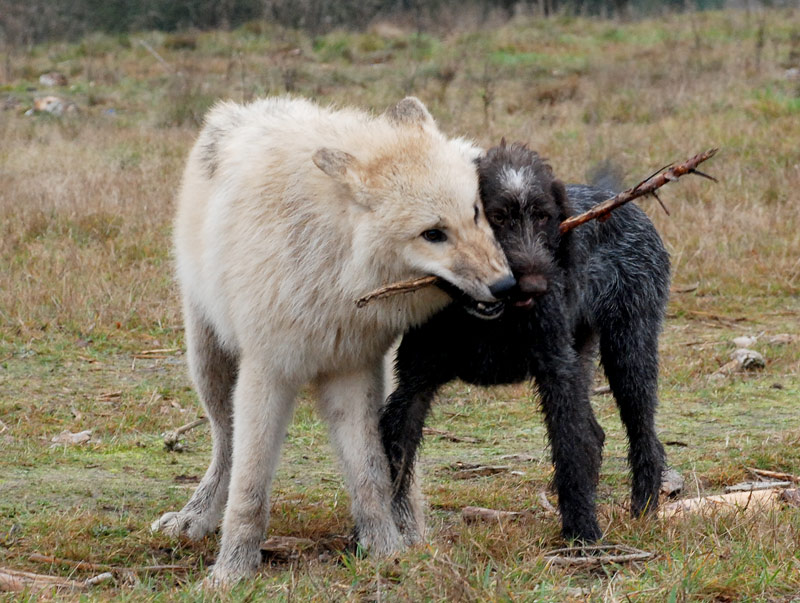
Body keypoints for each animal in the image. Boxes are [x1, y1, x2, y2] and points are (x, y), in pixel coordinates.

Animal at [380, 142, 668, 544]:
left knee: (644, 438)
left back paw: (643, 509)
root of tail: (615, 198)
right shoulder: (414, 385)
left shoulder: (556, 375)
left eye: (545, 216)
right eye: (496, 217)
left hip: (629, 351)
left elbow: (570, 450)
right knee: (596, 434)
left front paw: (583, 532)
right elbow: (395, 461)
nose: (532, 285)